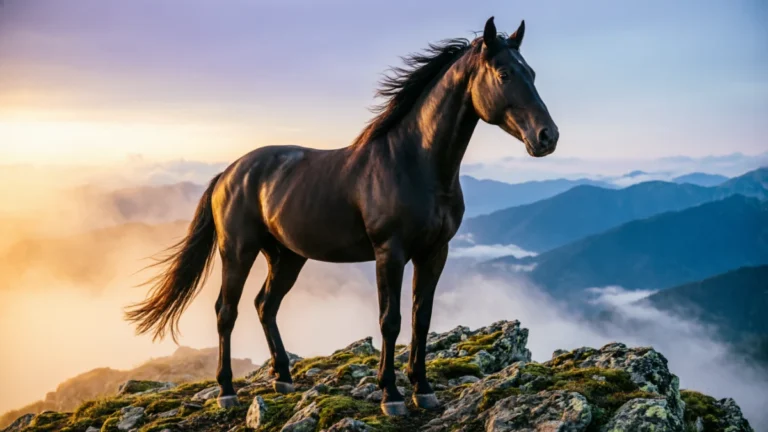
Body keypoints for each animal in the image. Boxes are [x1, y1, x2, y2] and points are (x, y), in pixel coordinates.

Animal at [126, 16, 558, 416]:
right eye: (504, 73)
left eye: (533, 73)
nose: (547, 137)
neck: (413, 163)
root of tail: (227, 174)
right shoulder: (389, 253)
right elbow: (390, 320)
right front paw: (391, 395)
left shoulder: (435, 252)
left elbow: (421, 317)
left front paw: (423, 389)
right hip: (238, 251)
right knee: (225, 312)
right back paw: (227, 391)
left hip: (286, 256)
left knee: (265, 305)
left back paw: (283, 377)